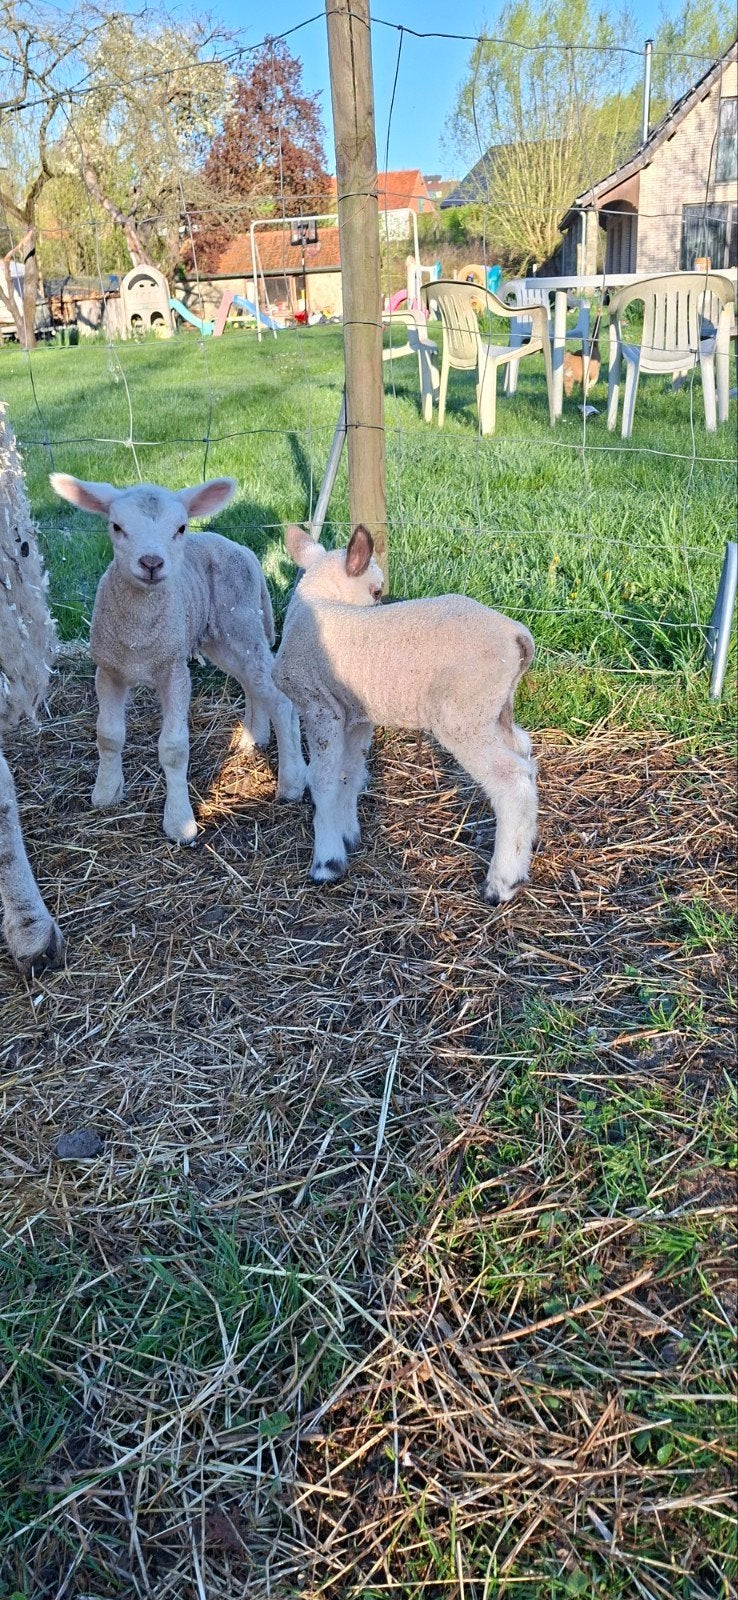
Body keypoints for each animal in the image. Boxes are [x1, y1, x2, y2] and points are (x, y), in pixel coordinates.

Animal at [49, 475, 307, 843]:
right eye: (116, 526)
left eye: (181, 528)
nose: (151, 563)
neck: (140, 635)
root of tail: (243, 550)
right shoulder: (108, 670)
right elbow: (108, 735)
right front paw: (106, 793)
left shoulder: (174, 670)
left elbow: (173, 748)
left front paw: (179, 823)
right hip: (221, 637)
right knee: (252, 683)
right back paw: (253, 738)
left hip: (240, 623)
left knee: (278, 697)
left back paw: (292, 782)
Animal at [274, 523, 538, 904]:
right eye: (376, 590)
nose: (380, 601)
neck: (318, 602)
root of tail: (516, 634)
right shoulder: (354, 714)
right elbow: (348, 775)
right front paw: (347, 835)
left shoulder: (320, 706)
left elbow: (322, 780)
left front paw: (327, 863)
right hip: (495, 707)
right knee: (525, 752)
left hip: (463, 712)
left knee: (511, 780)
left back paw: (503, 882)